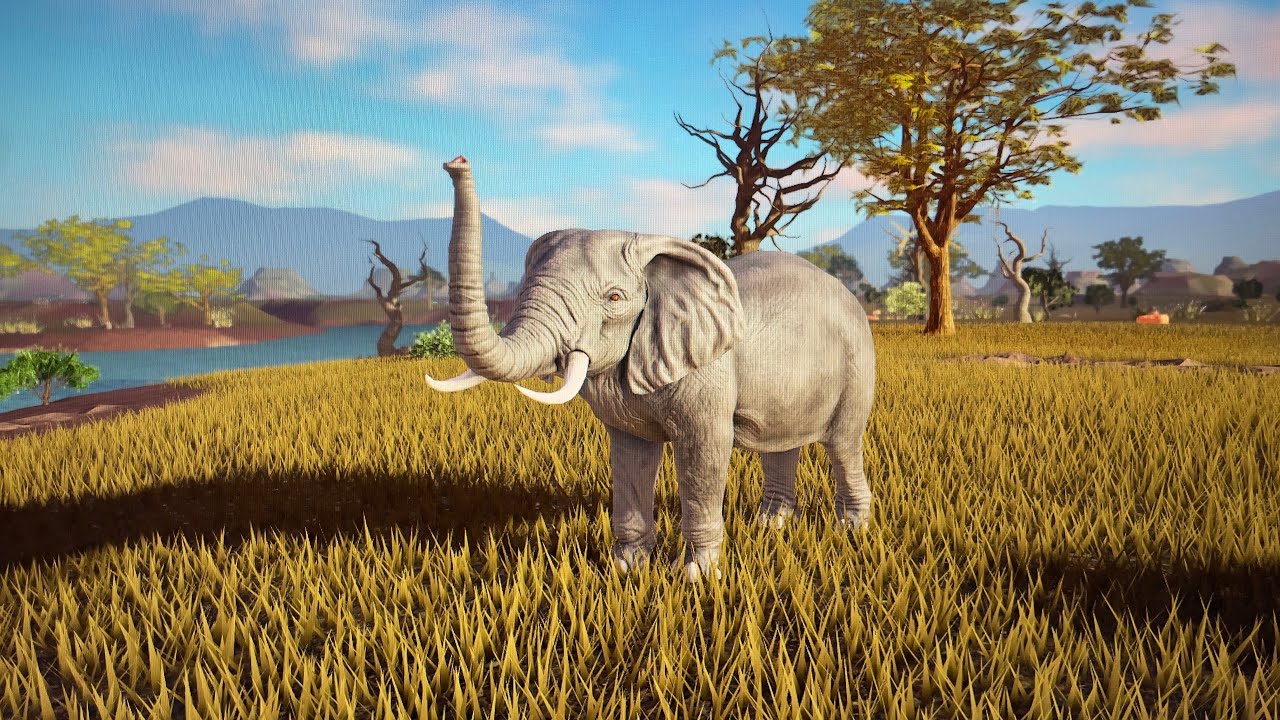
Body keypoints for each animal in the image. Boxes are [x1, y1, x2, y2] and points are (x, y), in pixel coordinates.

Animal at [426, 155, 876, 580]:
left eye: (614, 298)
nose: (456, 161)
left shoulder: (707, 374)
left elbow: (704, 455)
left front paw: (695, 577)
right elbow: (631, 455)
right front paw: (624, 571)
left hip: (858, 361)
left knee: (843, 444)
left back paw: (851, 531)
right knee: (781, 446)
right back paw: (772, 528)